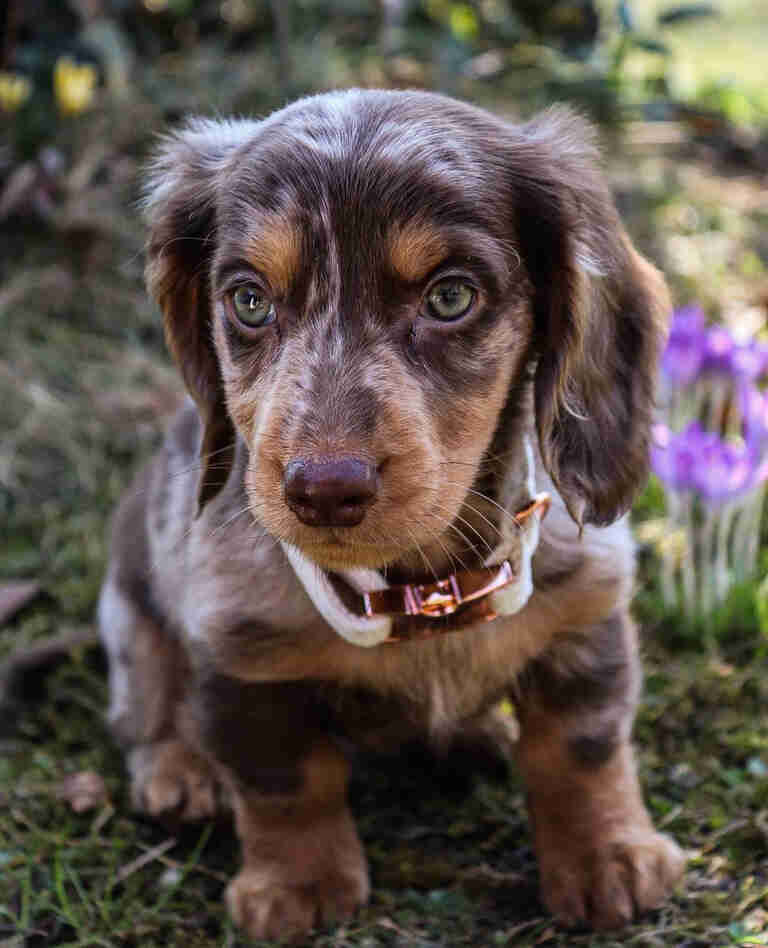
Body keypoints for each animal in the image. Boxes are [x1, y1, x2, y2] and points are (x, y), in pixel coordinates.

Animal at [100, 89, 684, 940]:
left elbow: (582, 749)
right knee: (146, 700)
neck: (420, 588)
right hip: (128, 612)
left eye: (450, 296)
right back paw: (178, 769)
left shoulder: (584, 613)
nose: (322, 490)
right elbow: (286, 782)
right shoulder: (241, 655)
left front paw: (609, 856)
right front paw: (298, 884)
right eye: (248, 300)